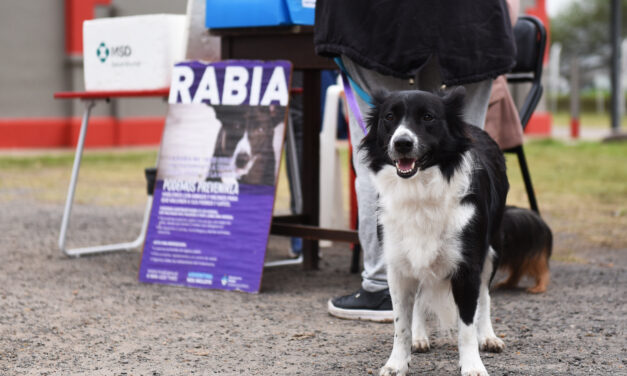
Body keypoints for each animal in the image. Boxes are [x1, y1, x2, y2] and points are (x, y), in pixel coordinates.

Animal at [360, 89, 512, 376]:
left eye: (428, 117)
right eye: (389, 117)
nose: (402, 143)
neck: (420, 189)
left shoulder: (468, 266)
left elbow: (467, 326)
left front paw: (473, 365)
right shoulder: (398, 266)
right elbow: (401, 324)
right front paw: (397, 363)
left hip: (493, 249)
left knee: (485, 296)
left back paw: (487, 336)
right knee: (420, 297)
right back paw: (420, 337)